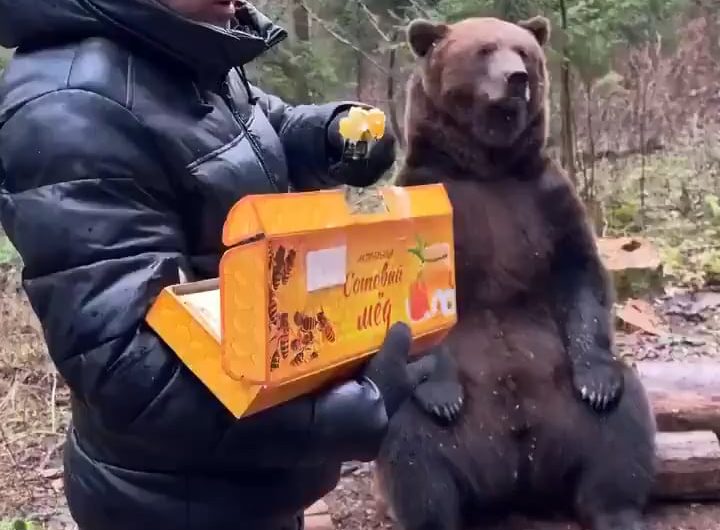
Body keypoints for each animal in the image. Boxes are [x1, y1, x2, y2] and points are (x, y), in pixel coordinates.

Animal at [372, 15, 657, 530]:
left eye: (523, 51)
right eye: (485, 50)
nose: (516, 79)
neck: (487, 167)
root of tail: (519, 472)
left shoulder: (544, 196)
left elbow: (578, 271)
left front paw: (597, 383)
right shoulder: (426, 194)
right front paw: (443, 392)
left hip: (567, 407)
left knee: (621, 434)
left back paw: (617, 509)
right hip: (451, 430)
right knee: (414, 453)